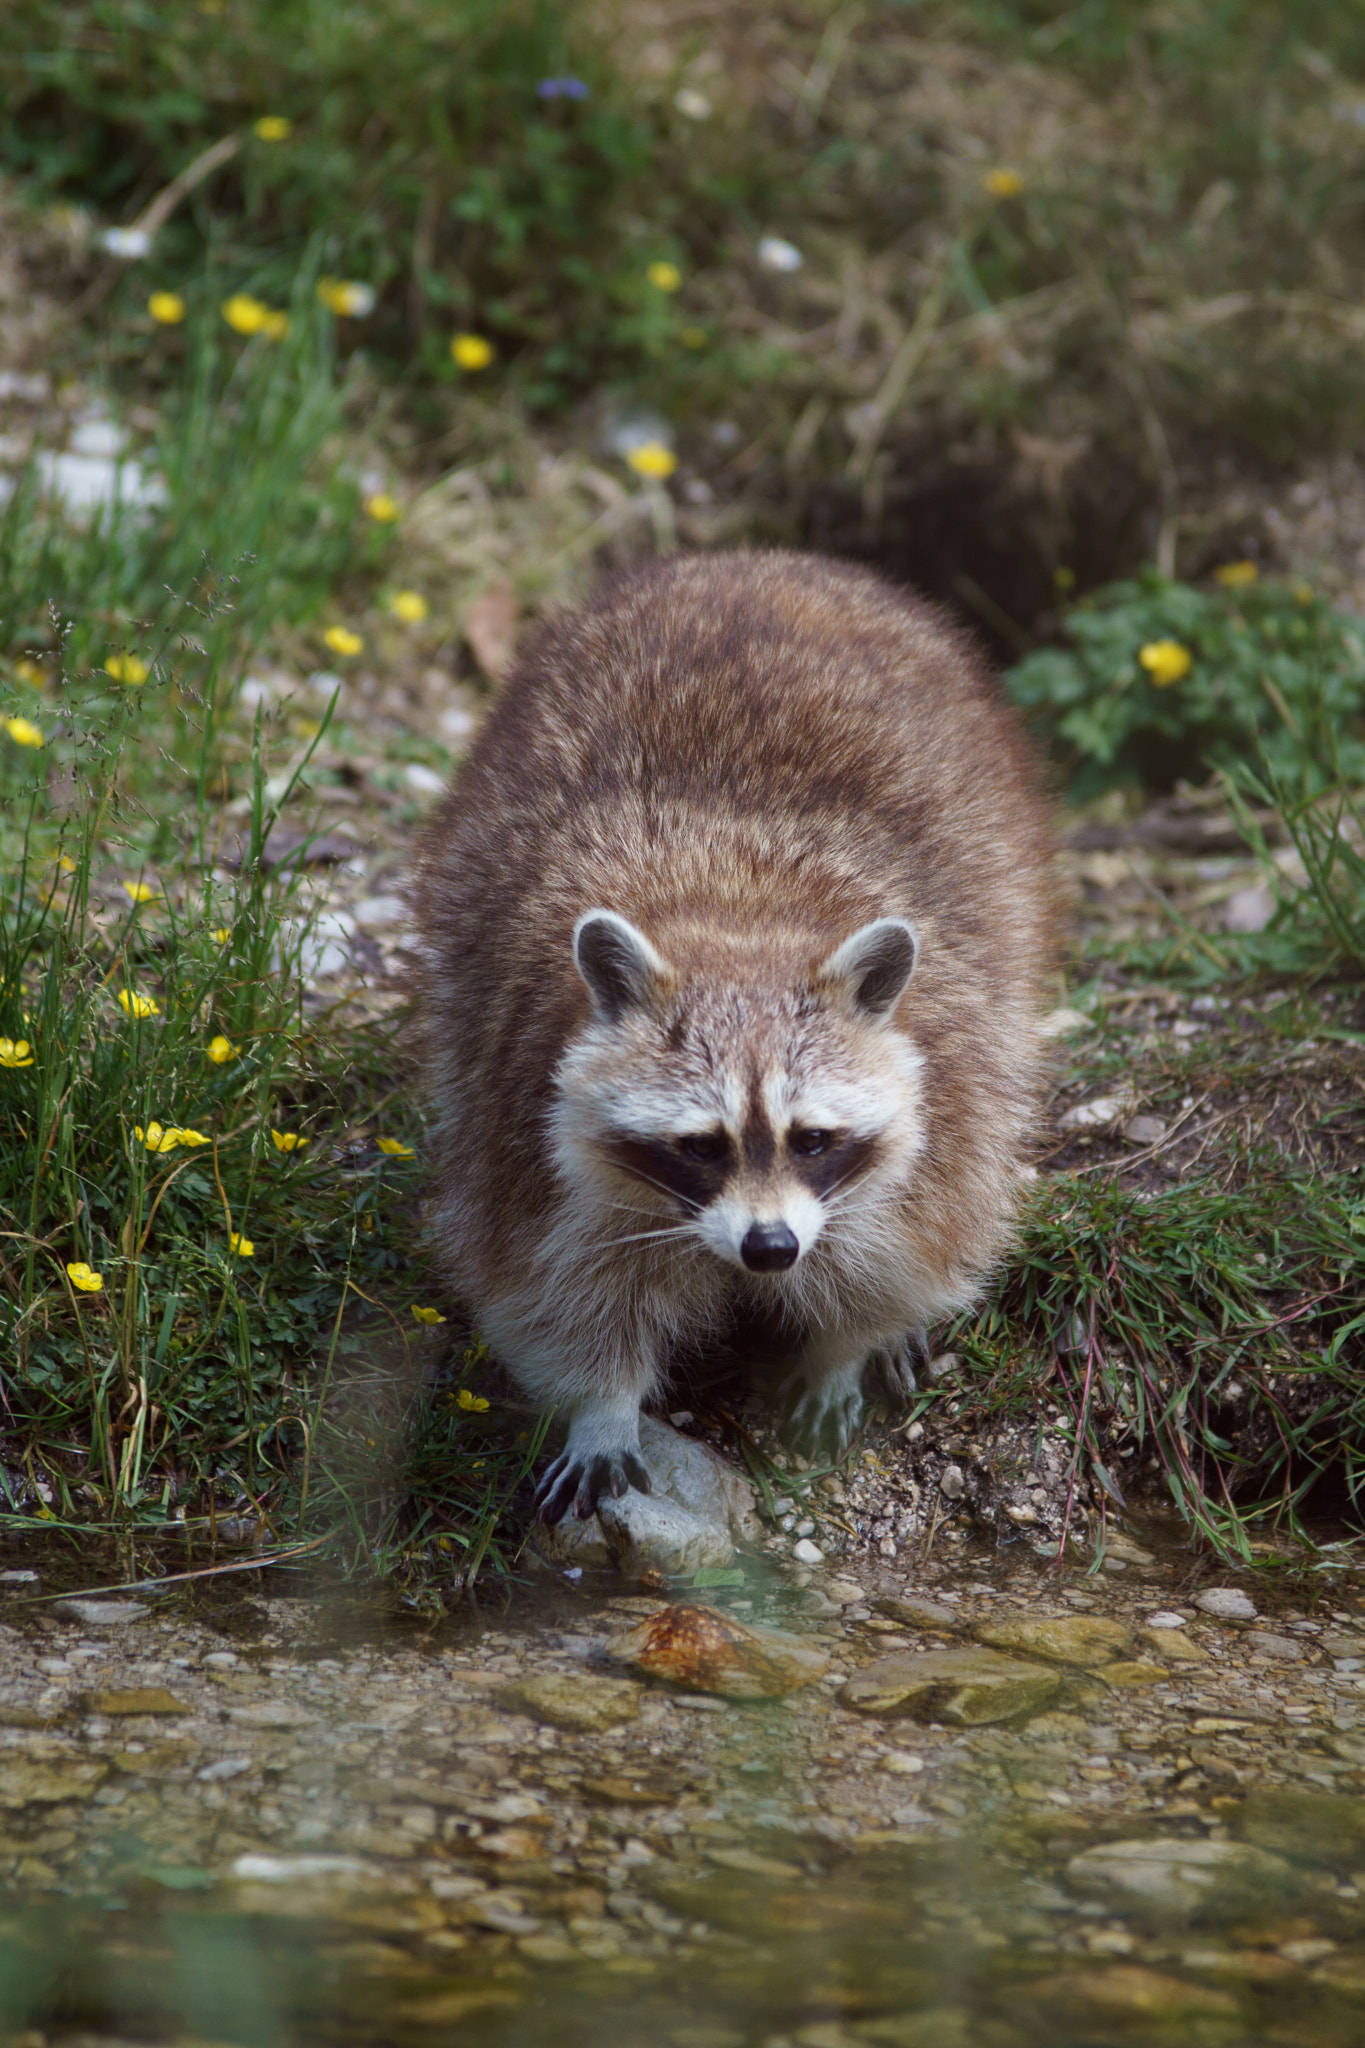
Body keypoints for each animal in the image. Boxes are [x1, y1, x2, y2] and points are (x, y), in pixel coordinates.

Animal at [411, 552, 1064, 1531]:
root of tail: (761, 561)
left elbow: (907, 1250)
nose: (771, 1250)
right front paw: (602, 1407)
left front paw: (843, 1348)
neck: (739, 921)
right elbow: (552, 1288)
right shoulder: (517, 1111)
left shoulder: (954, 1086)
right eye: (698, 1145)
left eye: (813, 1138)